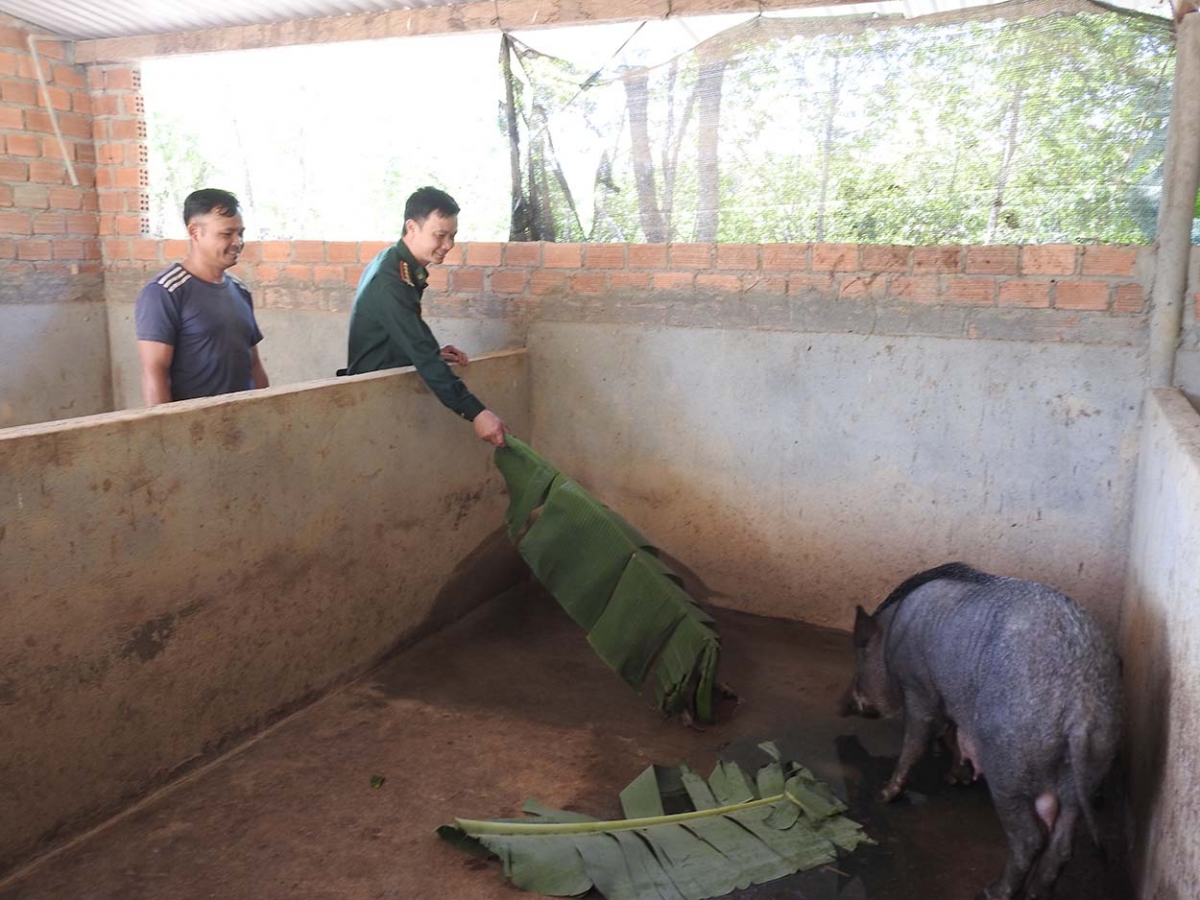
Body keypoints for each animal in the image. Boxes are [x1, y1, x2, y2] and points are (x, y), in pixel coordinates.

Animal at [840, 564, 1118, 900]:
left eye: (860, 653)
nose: (839, 706)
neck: (891, 633)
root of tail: (1080, 709)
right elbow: (953, 732)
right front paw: (954, 778)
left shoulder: (918, 685)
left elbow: (917, 739)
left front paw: (884, 795)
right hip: (1089, 769)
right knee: (1062, 846)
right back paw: (1035, 894)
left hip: (1008, 766)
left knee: (1030, 838)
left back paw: (991, 892)